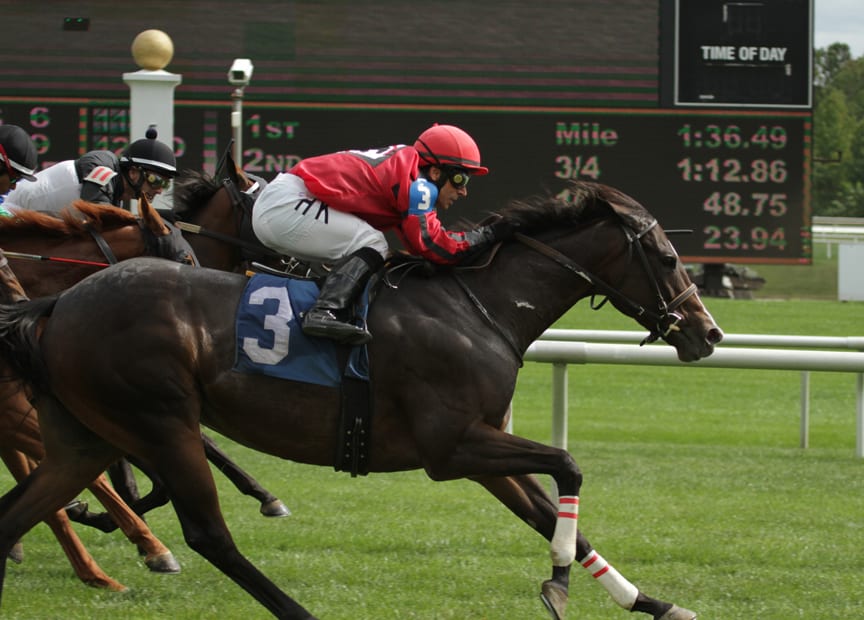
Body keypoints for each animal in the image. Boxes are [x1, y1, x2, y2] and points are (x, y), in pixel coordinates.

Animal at [0, 182, 724, 616]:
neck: (476, 307)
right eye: (666, 258)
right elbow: (568, 468)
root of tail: (59, 303)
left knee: (21, 511)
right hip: (160, 419)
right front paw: (558, 585)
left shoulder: (479, 448)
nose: (708, 334)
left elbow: (548, 513)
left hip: (87, 436)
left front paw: (648, 601)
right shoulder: (451, 447)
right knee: (208, 534)